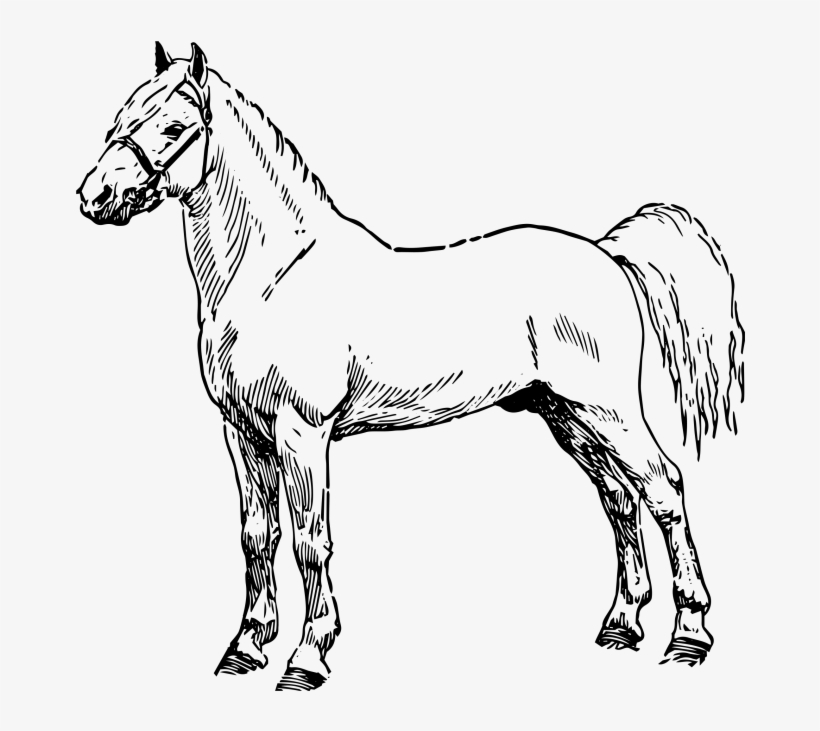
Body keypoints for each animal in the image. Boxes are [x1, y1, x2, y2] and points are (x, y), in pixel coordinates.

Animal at [77, 42, 745, 690]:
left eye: (173, 127)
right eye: (118, 120)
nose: (94, 197)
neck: (271, 279)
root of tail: (607, 253)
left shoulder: (302, 433)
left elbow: (309, 540)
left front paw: (307, 658)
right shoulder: (242, 432)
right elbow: (256, 536)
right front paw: (244, 648)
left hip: (607, 409)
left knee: (664, 488)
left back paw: (689, 636)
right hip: (564, 414)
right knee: (619, 498)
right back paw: (622, 625)